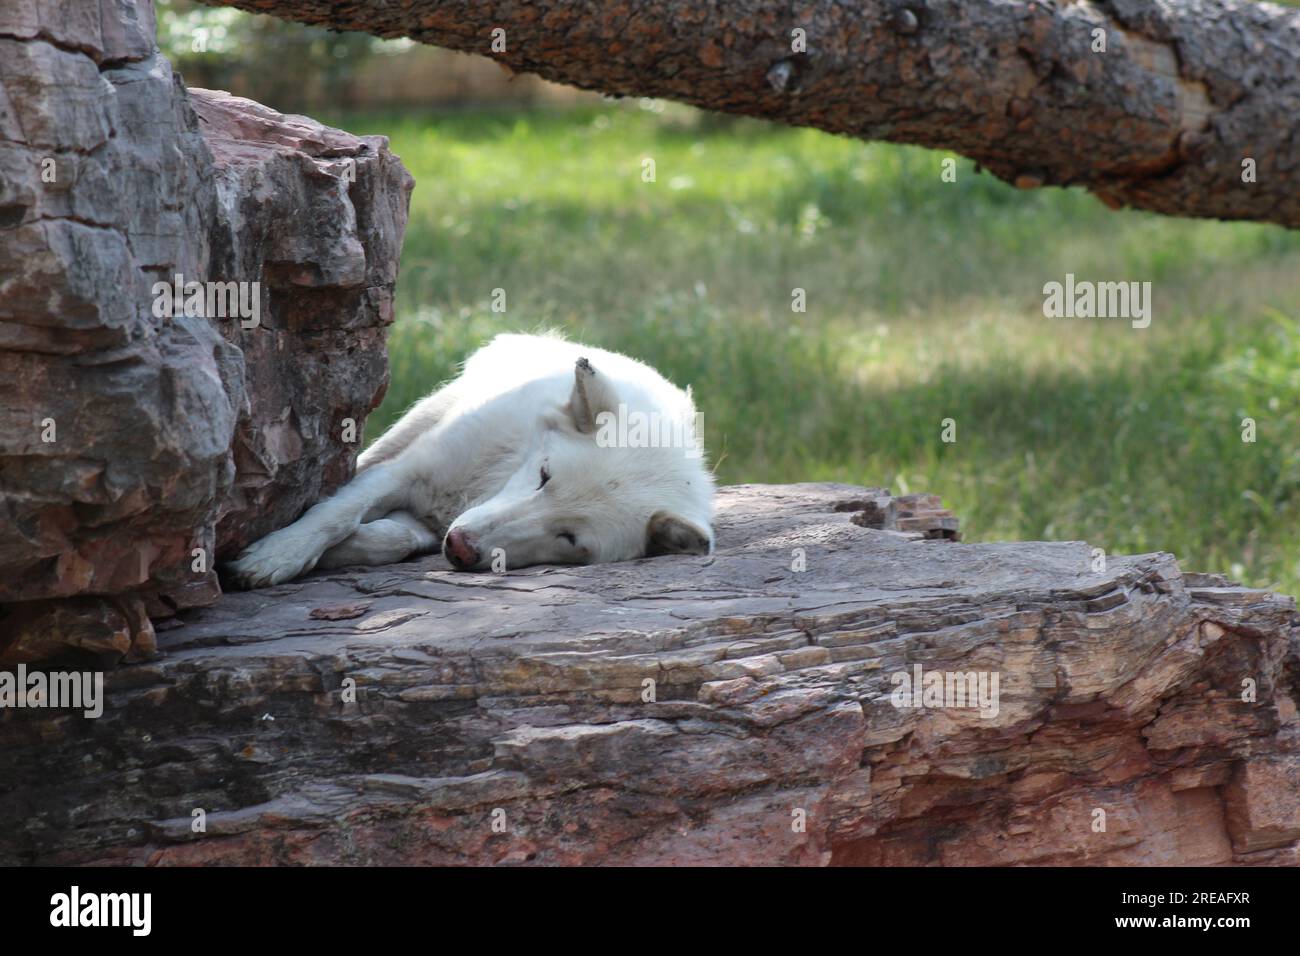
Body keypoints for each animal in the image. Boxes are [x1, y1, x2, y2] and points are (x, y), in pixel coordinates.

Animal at [225, 333, 715, 588]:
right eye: (543, 475)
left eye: (571, 539)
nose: (461, 548)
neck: (486, 482)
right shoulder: (406, 471)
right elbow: (337, 513)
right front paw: (278, 554)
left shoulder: (429, 520)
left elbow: (392, 538)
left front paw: (334, 554)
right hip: (417, 420)